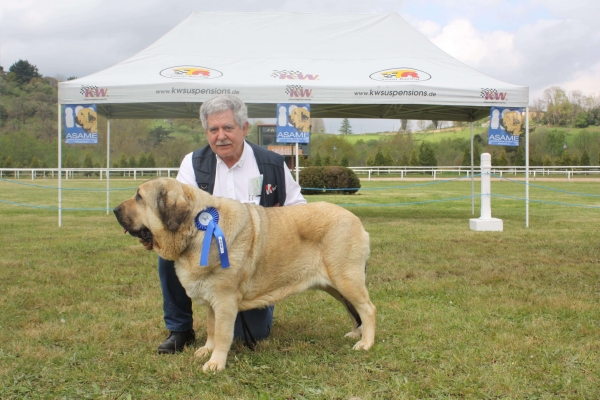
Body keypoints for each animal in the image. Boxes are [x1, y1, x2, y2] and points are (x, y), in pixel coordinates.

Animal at [113, 178, 376, 372]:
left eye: (139, 197)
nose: (115, 210)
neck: (196, 229)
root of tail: (356, 220)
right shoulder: (212, 301)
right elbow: (211, 329)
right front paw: (206, 351)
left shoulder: (225, 301)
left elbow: (222, 334)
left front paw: (215, 363)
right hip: (336, 286)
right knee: (353, 309)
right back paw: (357, 333)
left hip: (346, 278)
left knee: (367, 308)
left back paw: (366, 343)